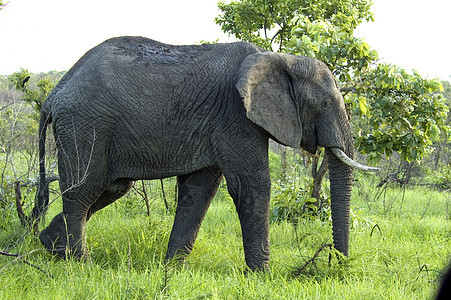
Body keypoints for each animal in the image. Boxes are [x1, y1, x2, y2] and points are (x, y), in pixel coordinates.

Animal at [35, 36, 376, 270]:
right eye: (325, 104)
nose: (336, 264)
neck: (282, 59)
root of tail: (54, 94)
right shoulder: (235, 115)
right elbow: (252, 186)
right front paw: (263, 276)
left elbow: (198, 191)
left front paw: (172, 270)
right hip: (85, 125)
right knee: (83, 191)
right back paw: (81, 264)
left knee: (110, 188)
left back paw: (51, 247)